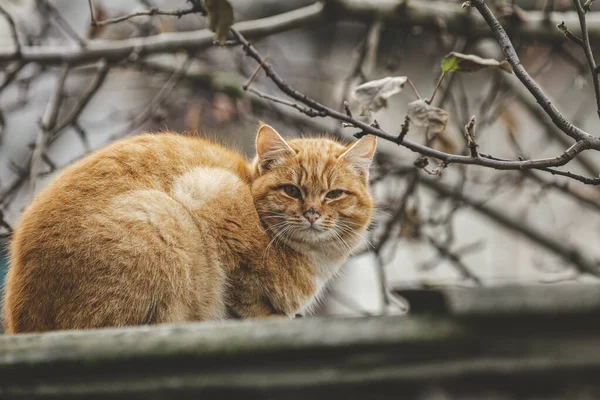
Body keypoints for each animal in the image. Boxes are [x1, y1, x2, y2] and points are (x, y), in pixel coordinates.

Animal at [2, 123, 376, 332]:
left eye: (333, 194)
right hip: (165, 218)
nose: (312, 213)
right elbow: (244, 292)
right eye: (292, 191)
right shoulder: (210, 192)